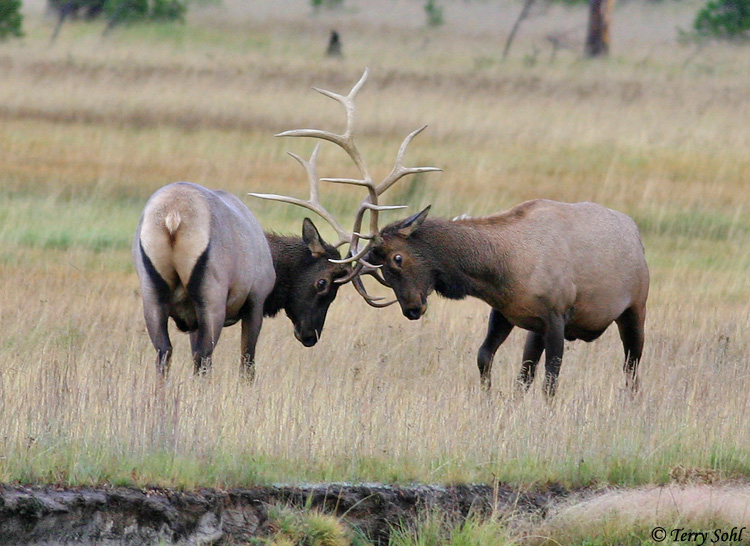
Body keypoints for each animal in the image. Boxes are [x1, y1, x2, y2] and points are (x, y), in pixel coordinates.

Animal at [278, 70, 650, 397]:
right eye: (381, 270)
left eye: (398, 258)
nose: (412, 309)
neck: (503, 269)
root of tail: (635, 232)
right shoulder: (508, 313)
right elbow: (489, 360)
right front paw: (492, 401)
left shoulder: (557, 312)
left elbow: (551, 378)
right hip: (541, 329)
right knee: (529, 370)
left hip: (636, 307)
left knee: (632, 366)